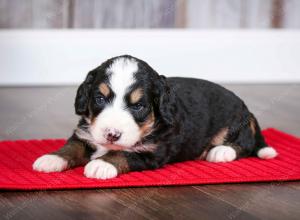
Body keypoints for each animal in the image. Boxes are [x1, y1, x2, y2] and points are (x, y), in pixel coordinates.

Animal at [32, 54, 276, 179]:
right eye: (100, 98)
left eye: (139, 106)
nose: (112, 134)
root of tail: (247, 109)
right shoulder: (85, 133)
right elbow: (72, 147)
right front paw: (52, 158)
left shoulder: (152, 151)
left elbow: (124, 154)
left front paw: (102, 164)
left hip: (234, 123)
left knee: (245, 144)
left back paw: (221, 151)